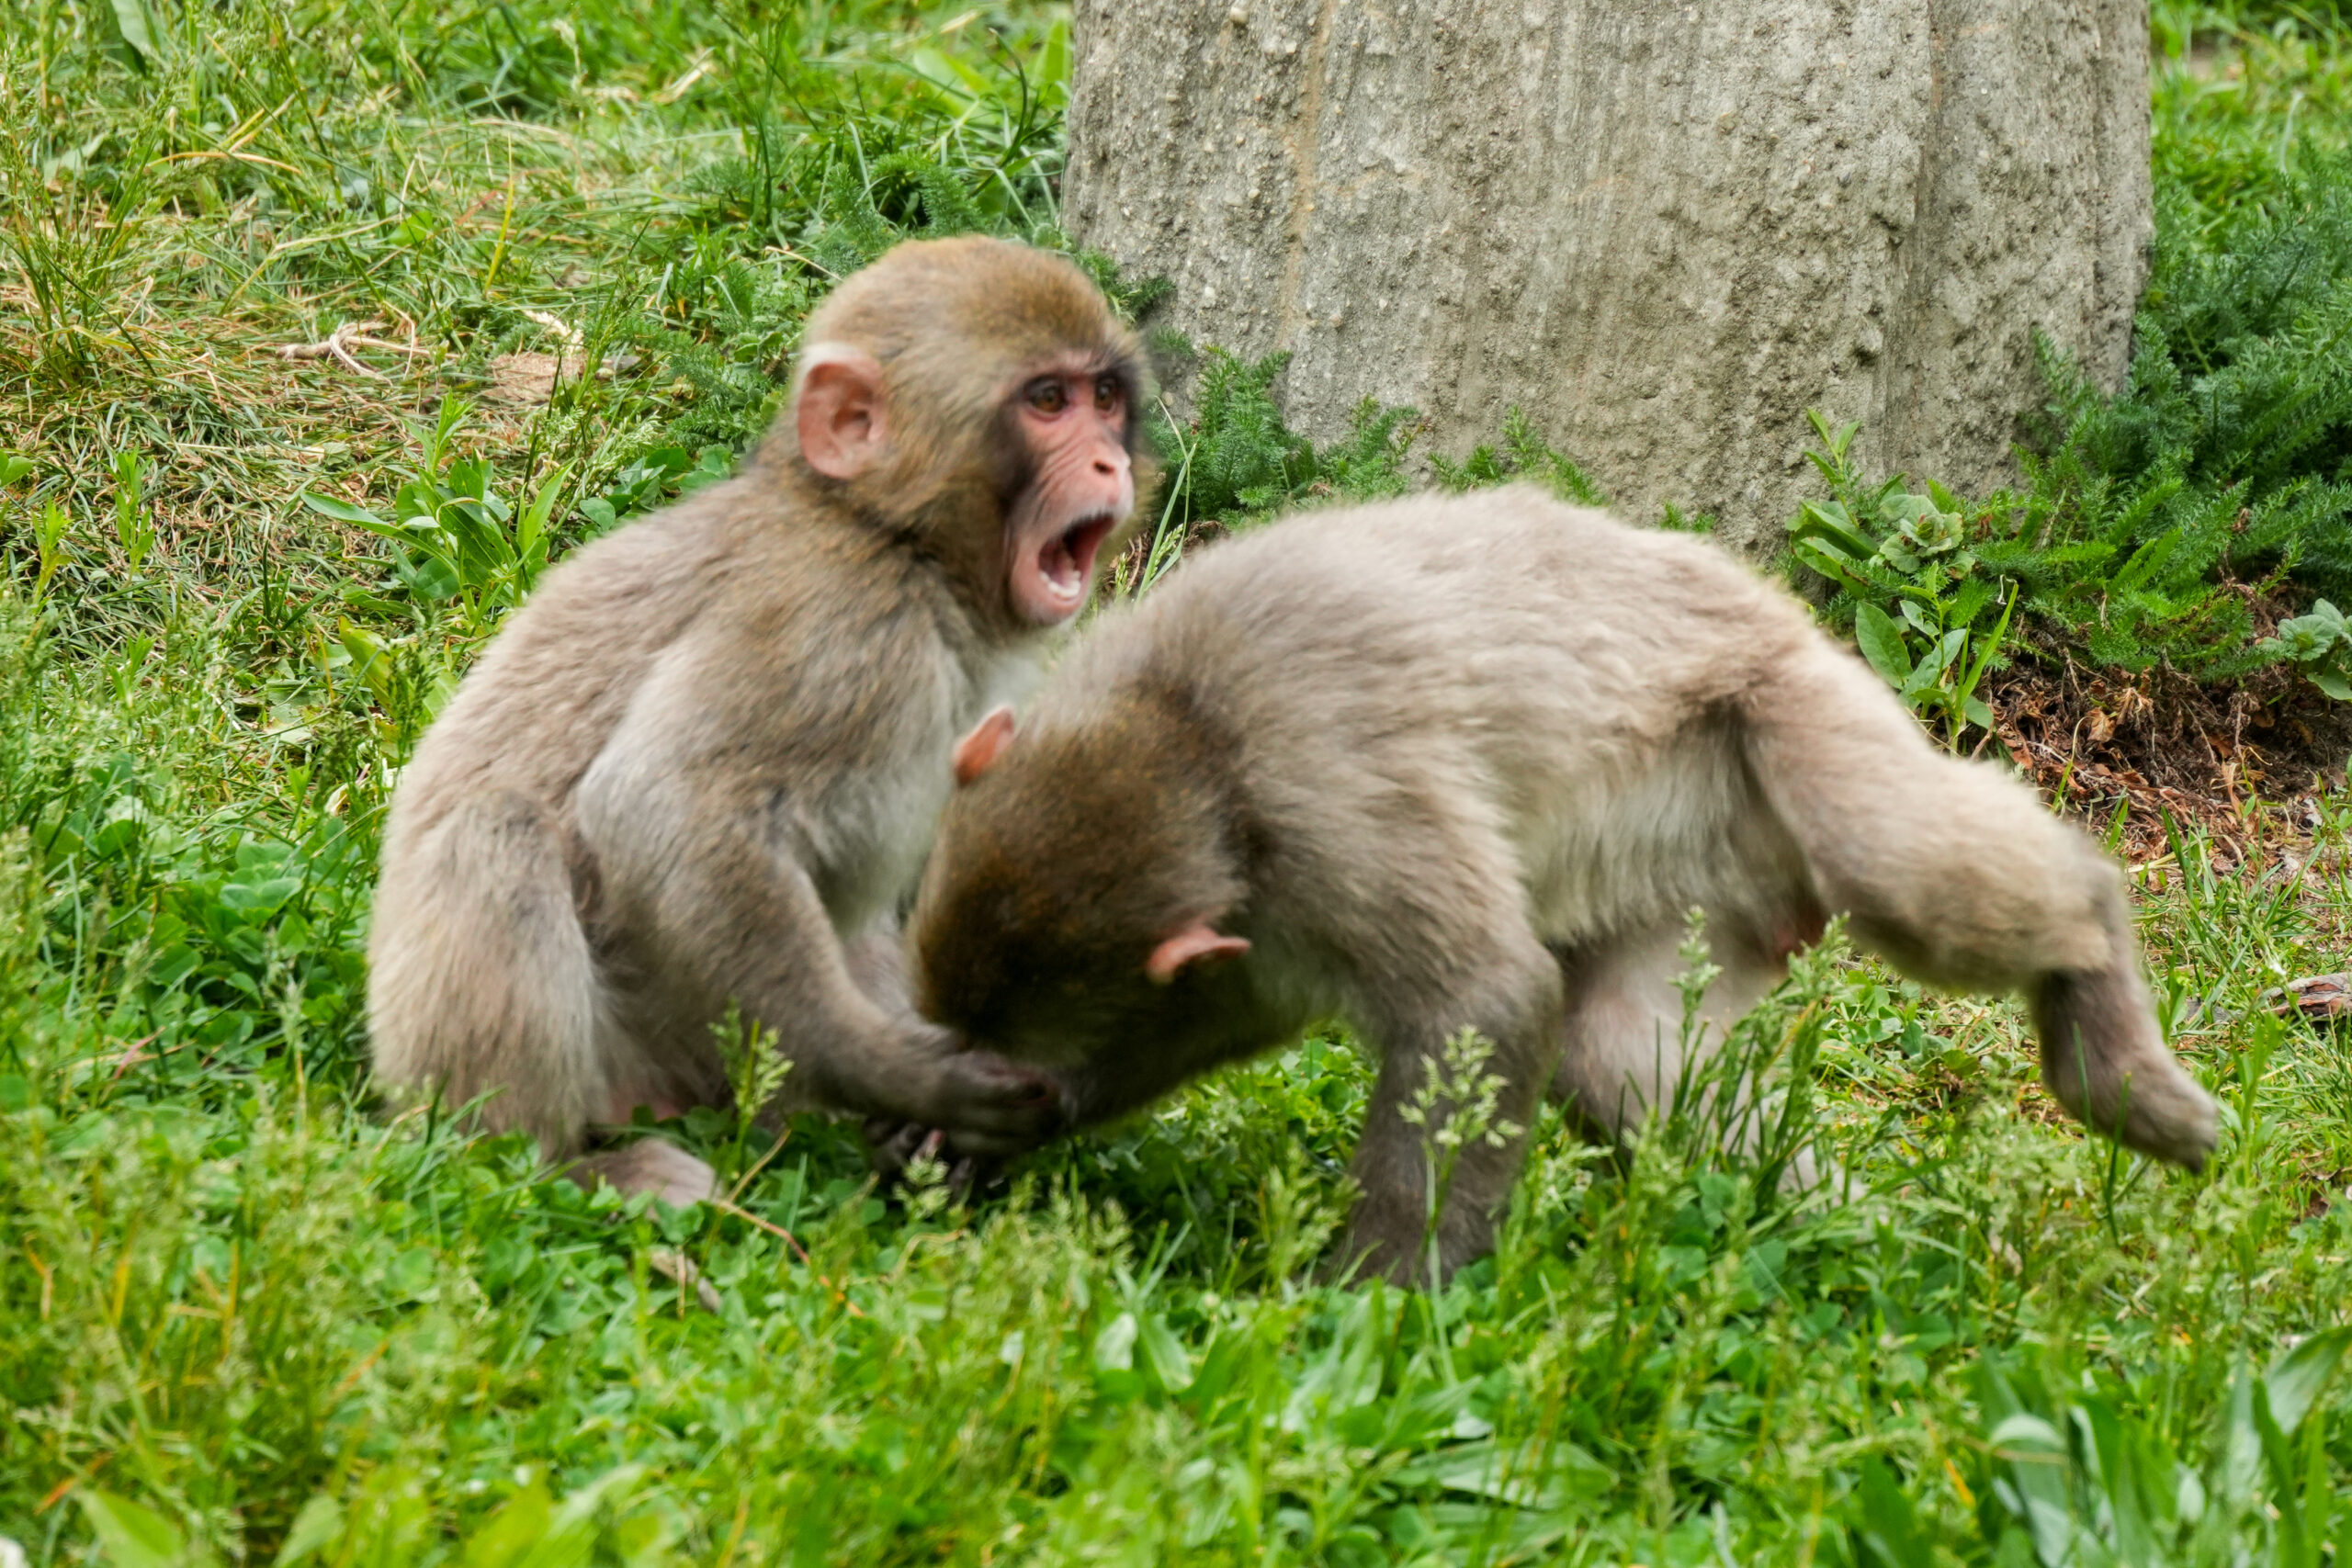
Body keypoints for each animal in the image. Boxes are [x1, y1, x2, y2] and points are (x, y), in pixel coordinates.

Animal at [366, 235, 1155, 1204]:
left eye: (1105, 399)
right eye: (1048, 402)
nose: (1113, 465)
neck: (891, 537)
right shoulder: (837, 629)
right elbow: (661, 803)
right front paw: (885, 1066)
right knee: (495, 833)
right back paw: (560, 1164)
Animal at [905, 486, 2219, 1284]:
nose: (984, 1090)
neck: (1187, 738)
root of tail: (1788, 614)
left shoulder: (1334, 819)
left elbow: (1482, 1003)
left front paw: (1376, 1299)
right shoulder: (1251, 931)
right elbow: (1211, 1021)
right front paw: (956, 1137)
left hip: (1793, 718)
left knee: (1901, 866)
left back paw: (2101, 987)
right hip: (1711, 858)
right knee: (1619, 1052)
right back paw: (1847, 1229)